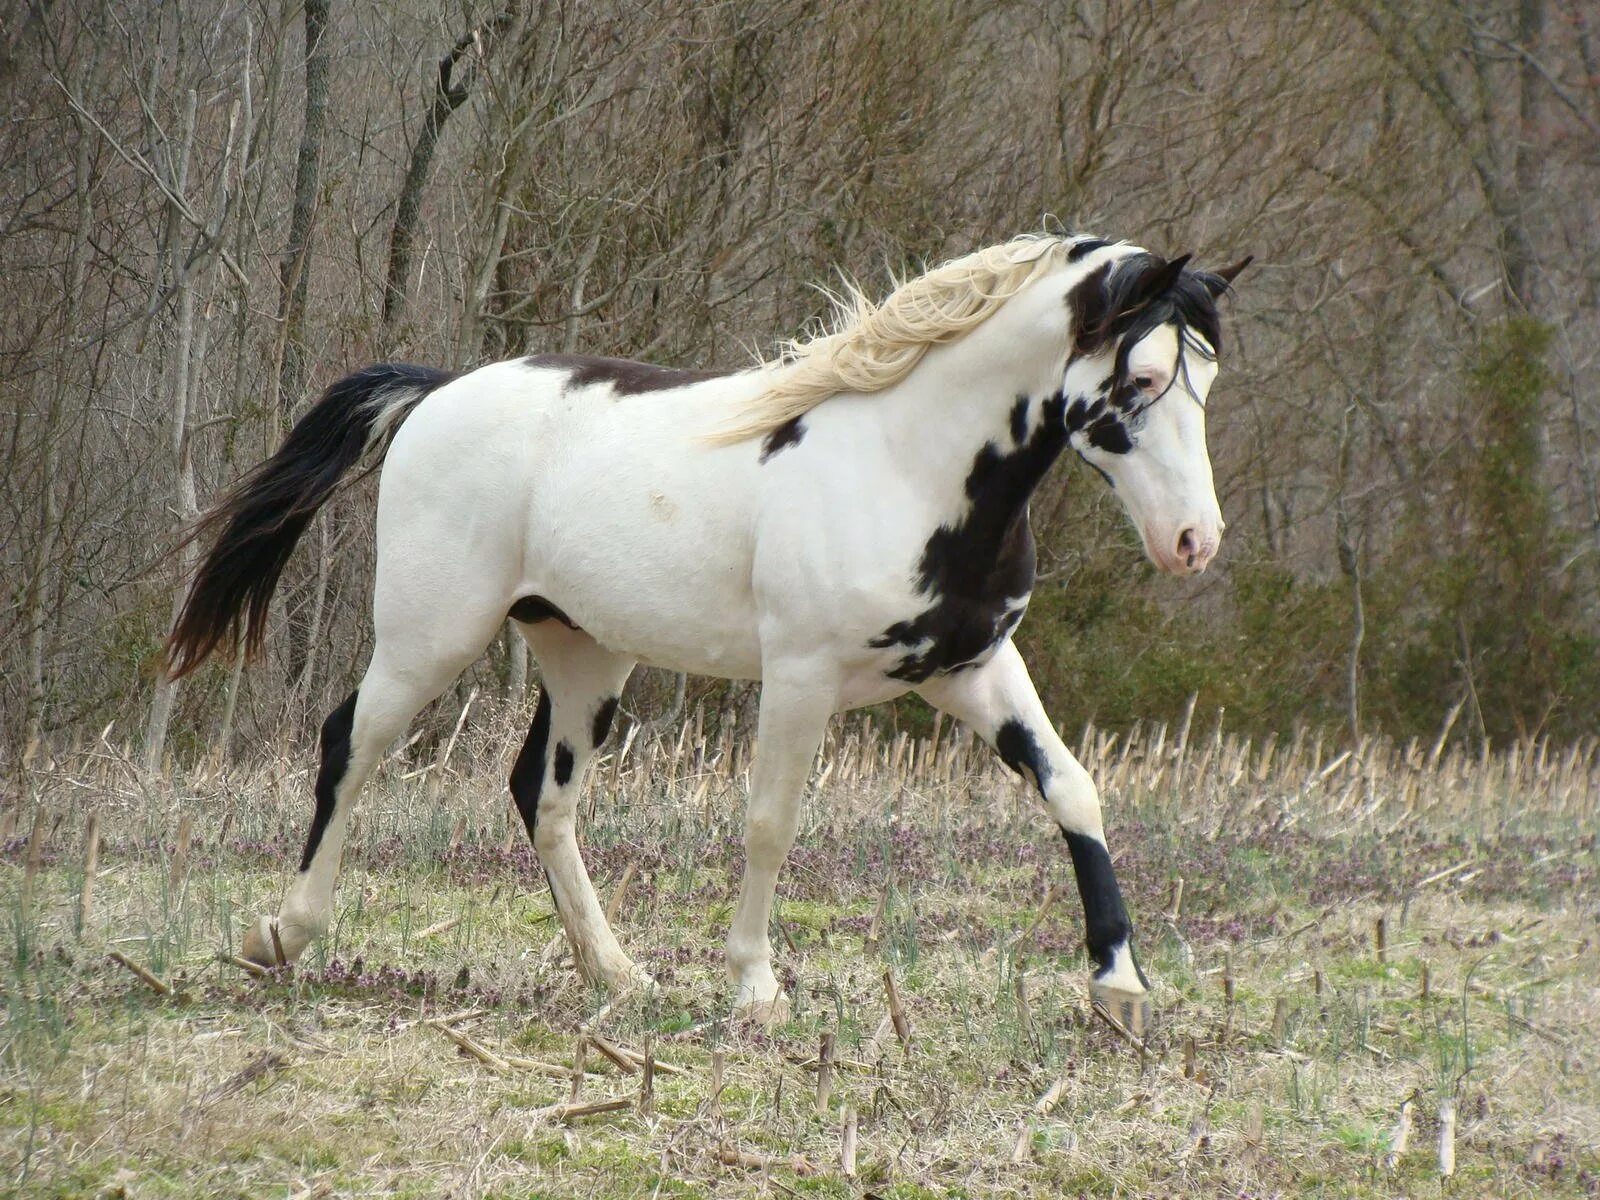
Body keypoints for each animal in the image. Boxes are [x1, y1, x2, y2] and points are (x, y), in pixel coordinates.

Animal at [172, 232, 1248, 1036]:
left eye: (1206, 380)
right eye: (1141, 381)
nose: (1193, 543)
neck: (906, 464)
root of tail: (438, 393)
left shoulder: (971, 668)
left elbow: (1071, 787)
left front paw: (1120, 986)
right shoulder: (802, 677)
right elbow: (771, 823)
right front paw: (757, 990)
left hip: (583, 655)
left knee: (542, 797)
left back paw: (616, 976)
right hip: (429, 636)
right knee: (350, 744)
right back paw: (282, 937)